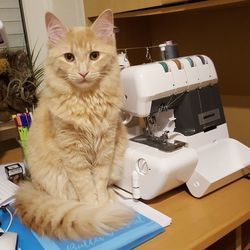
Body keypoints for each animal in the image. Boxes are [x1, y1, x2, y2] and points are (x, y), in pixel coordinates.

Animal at [14, 9, 134, 240]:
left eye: (94, 55)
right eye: (69, 57)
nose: (83, 72)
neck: (87, 102)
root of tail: (32, 185)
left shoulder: (106, 148)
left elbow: (99, 182)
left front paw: (103, 204)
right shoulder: (73, 156)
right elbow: (87, 189)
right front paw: (95, 211)